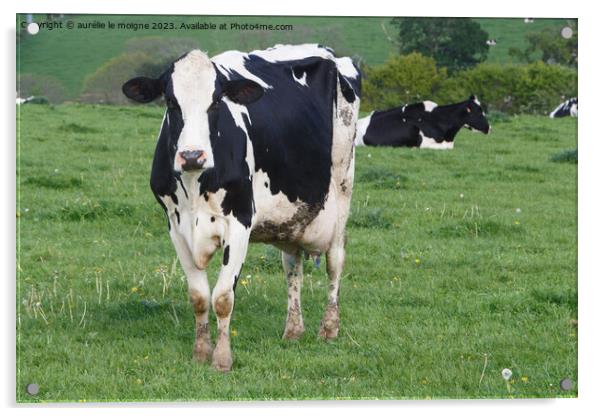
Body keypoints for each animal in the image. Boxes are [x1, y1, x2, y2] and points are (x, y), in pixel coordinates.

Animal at [119, 44, 358, 372]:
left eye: (216, 101)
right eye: (170, 101)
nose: (192, 156)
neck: (195, 186)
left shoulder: (239, 222)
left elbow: (222, 297)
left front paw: (221, 359)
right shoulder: (175, 225)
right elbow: (198, 296)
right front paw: (200, 353)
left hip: (342, 192)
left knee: (336, 261)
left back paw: (329, 328)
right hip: (290, 217)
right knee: (292, 266)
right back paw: (293, 330)